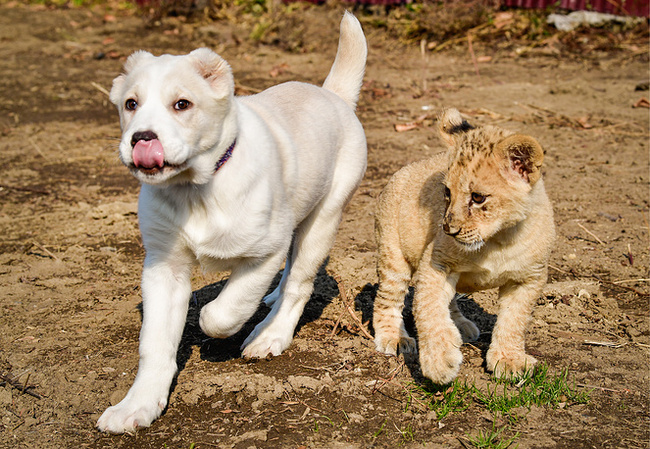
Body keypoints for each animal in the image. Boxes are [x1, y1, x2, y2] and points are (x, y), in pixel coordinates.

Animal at [98, 14, 368, 432]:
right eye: (131, 104)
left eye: (182, 104)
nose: (141, 139)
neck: (194, 190)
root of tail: (333, 96)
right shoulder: (163, 267)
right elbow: (154, 344)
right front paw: (138, 405)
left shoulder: (264, 252)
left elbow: (223, 311)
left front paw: (220, 322)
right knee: (290, 274)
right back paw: (272, 297)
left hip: (323, 219)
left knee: (300, 284)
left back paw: (270, 335)